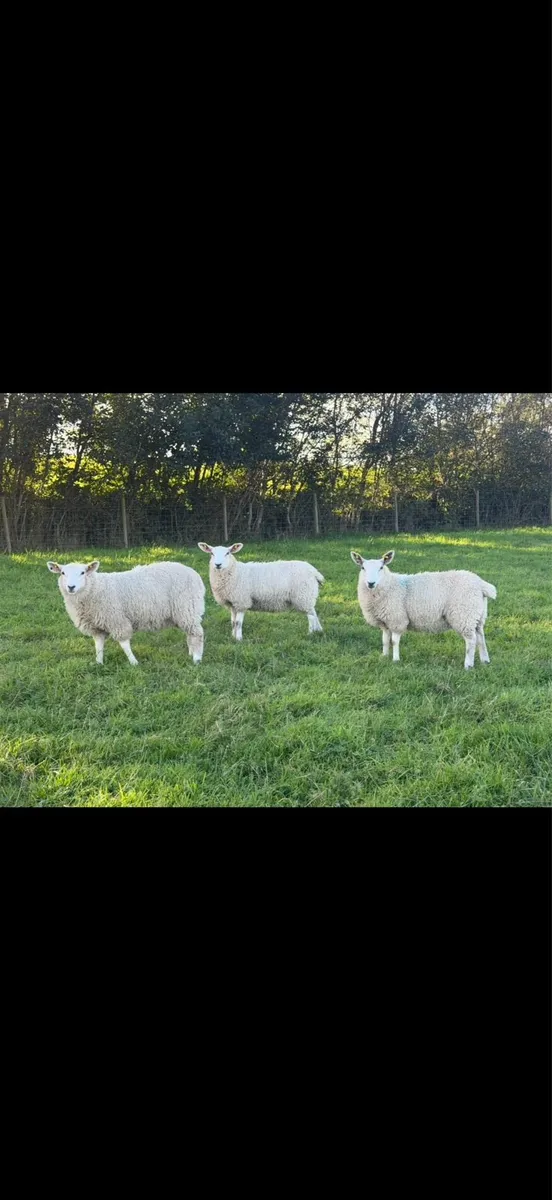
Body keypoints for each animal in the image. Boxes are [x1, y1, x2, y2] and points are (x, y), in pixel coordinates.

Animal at [47, 560, 206, 666]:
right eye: (63, 573)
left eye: (82, 572)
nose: (71, 587)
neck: (95, 589)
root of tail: (194, 573)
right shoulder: (96, 626)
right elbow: (98, 646)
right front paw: (99, 663)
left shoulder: (116, 619)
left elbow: (124, 644)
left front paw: (133, 662)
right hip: (184, 612)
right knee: (190, 633)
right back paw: (191, 652)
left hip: (187, 607)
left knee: (197, 633)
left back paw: (197, 658)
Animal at [351, 550, 497, 669]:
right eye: (363, 568)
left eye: (381, 567)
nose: (371, 583)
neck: (390, 585)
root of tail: (481, 585)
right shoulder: (385, 621)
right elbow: (385, 640)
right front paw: (384, 657)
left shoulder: (397, 619)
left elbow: (394, 641)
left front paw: (396, 660)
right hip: (477, 615)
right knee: (480, 637)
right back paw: (485, 661)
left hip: (464, 614)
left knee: (471, 641)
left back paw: (468, 665)